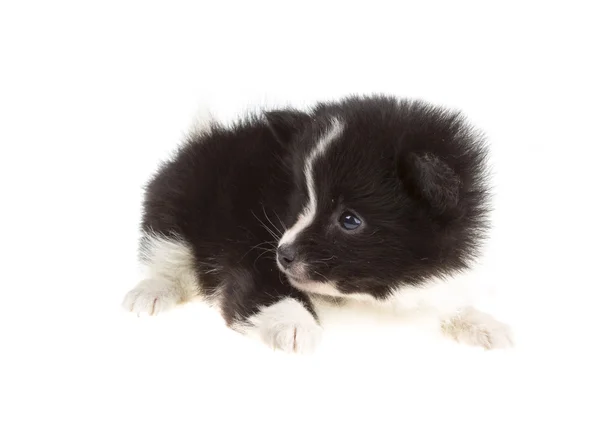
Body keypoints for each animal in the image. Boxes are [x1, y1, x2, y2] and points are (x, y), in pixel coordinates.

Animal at [122, 94, 510, 350]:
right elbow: (261, 286)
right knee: (167, 252)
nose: (284, 255)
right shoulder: (250, 242)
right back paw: (151, 293)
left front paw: (479, 322)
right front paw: (294, 323)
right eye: (302, 201)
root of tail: (209, 136)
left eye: (349, 220)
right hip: (179, 204)